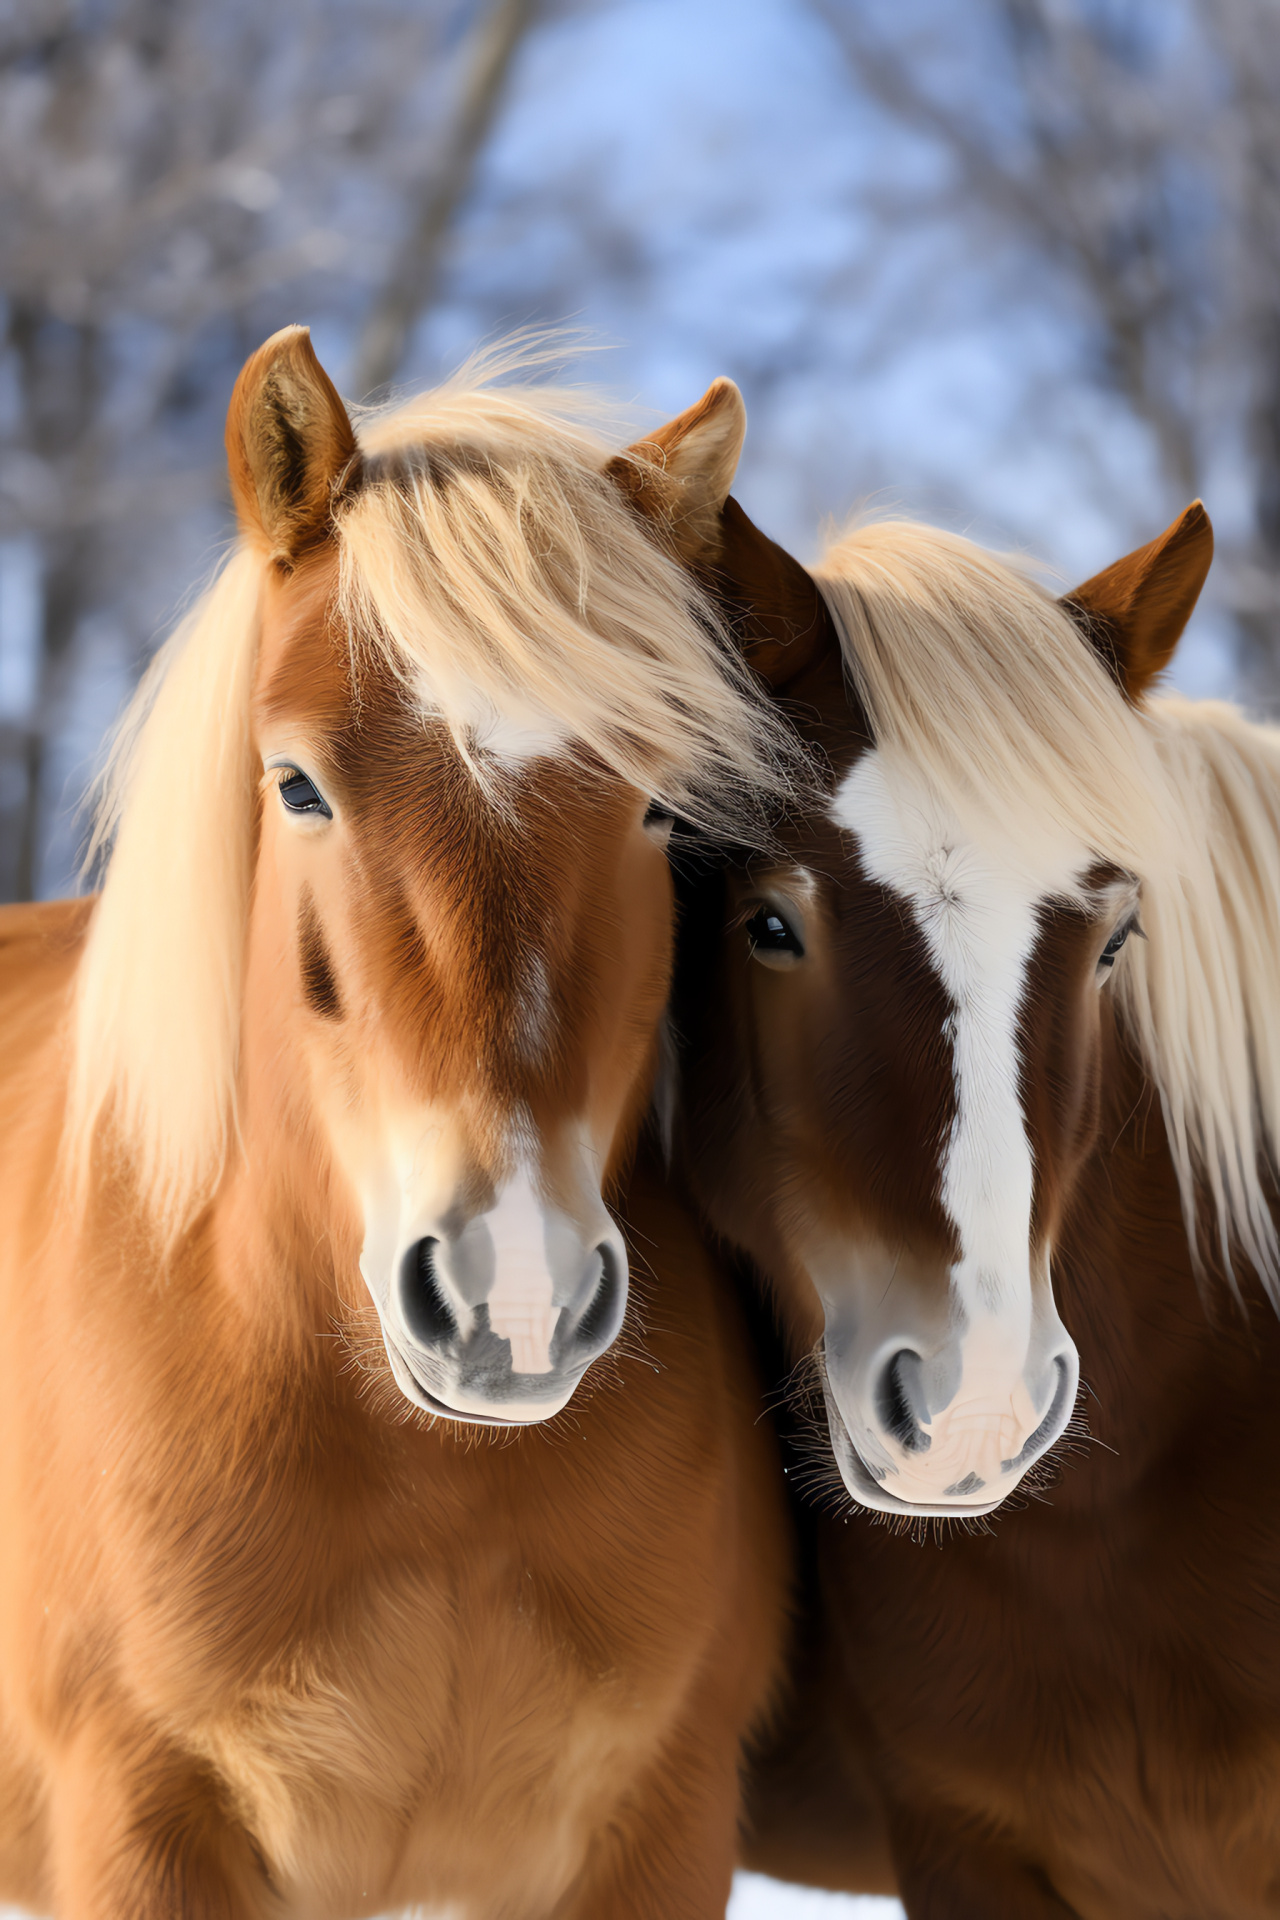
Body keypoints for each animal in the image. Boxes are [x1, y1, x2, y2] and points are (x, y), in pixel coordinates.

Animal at [0, 326, 802, 1920]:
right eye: (297, 783)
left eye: (659, 812)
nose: (514, 1296)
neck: (425, 1479)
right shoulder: (134, 1821)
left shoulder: (663, 1829)